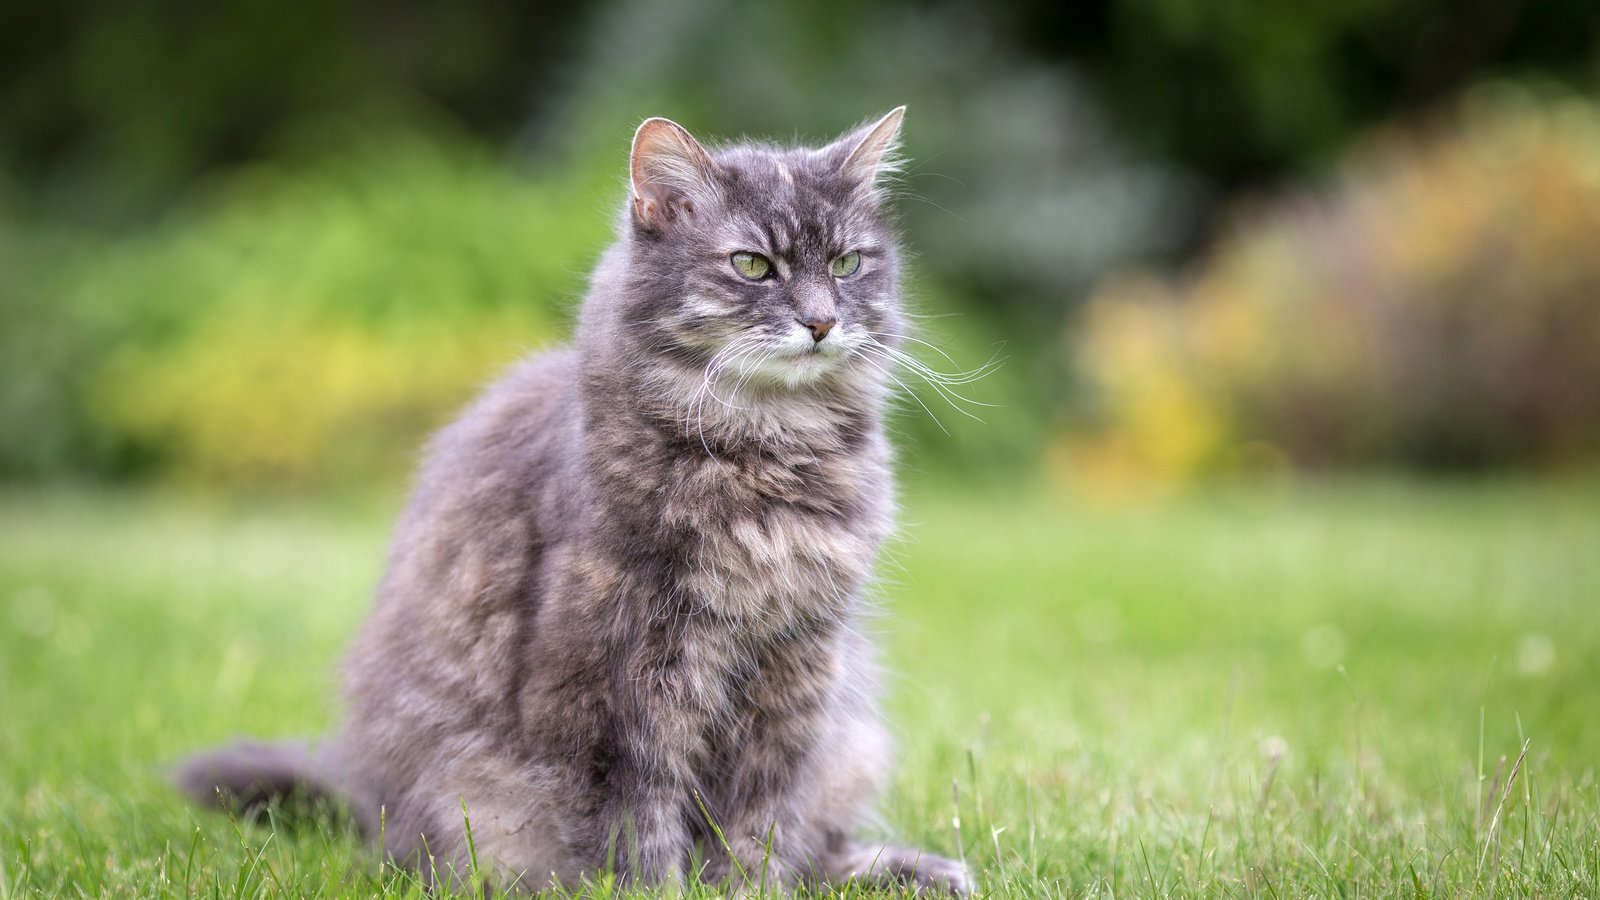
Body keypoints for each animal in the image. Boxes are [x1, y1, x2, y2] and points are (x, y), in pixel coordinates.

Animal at [181, 106, 966, 890]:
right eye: (751, 265)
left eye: (846, 264)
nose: (822, 321)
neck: (766, 453)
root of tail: (363, 801)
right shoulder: (616, 685)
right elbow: (639, 822)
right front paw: (661, 892)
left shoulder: (796, 666)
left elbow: (759, 822)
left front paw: (744, 890)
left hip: (851, 741)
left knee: (820, 848)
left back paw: (914, 870)